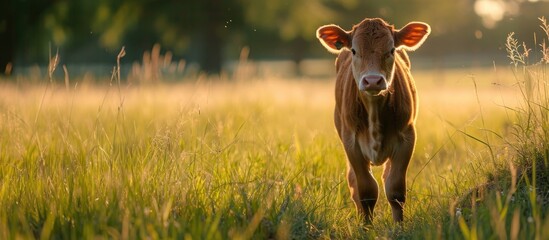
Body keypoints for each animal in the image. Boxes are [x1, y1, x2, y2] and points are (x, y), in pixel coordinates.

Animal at [316, 17, 428, 222]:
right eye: (354, 50)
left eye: (391, 49)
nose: (373, 80)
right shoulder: (351, 143)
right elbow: (366, 191)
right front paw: (366, 226)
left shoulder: (407, 138)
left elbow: (395, 190)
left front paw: (399, 226)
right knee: (353, 183)